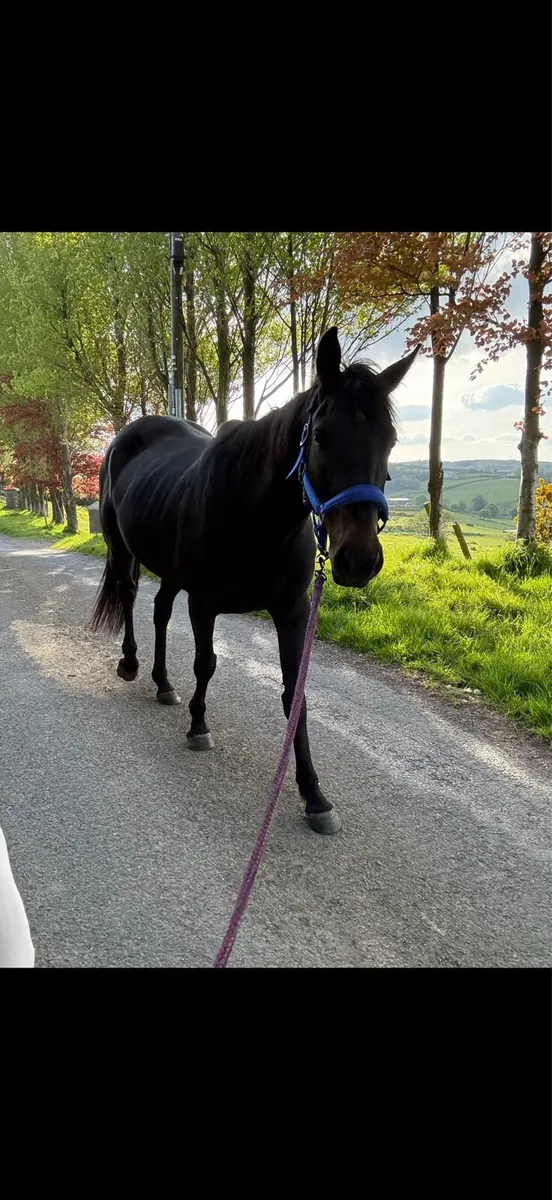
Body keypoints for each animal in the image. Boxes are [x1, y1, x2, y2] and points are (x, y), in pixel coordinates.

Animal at [90, 327, 418, 834]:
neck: (256, 515)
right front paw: (198, 726)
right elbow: (206, 664)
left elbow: (294, 694)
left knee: (160, 609)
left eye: (390, 439)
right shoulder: (204, 602)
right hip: (122, 549)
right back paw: (131, 663)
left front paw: (313, 794)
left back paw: (163, 683)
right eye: (320, 436)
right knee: (128, 598)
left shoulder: (292, 610)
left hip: (170, 569)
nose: (358, 559)